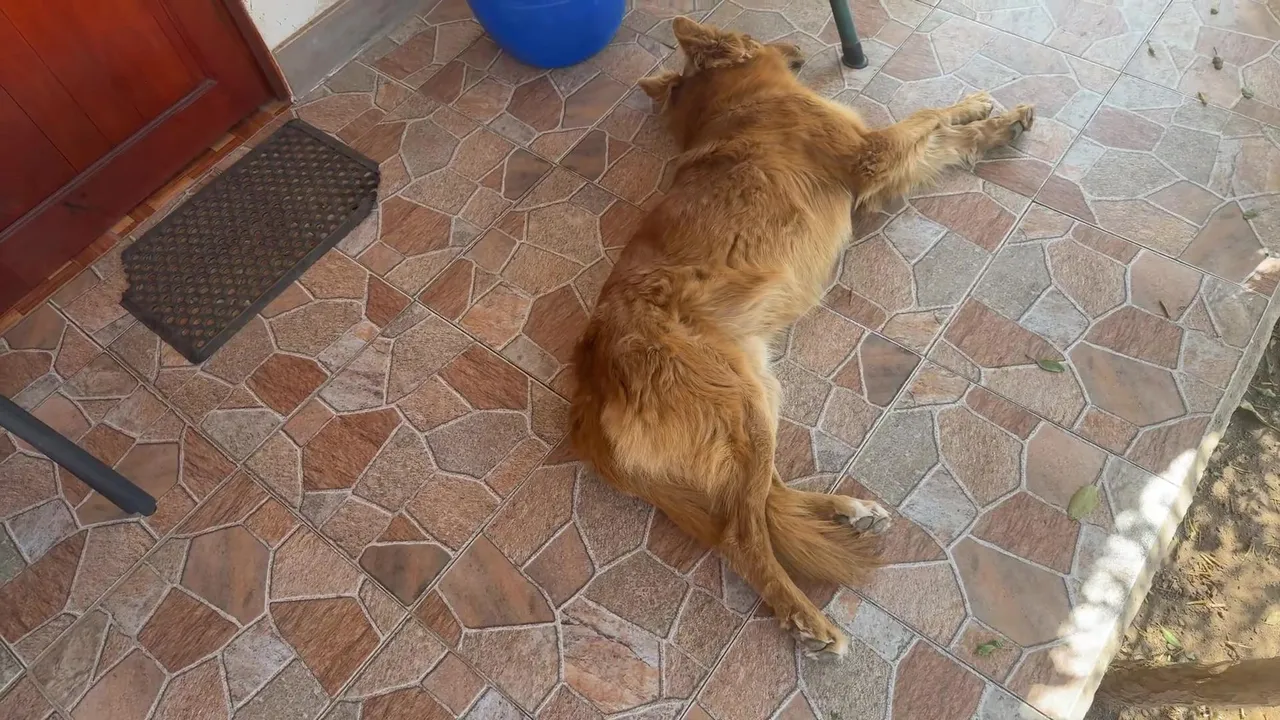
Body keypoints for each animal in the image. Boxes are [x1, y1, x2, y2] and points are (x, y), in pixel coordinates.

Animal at [568, 16, 1035, 656]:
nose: (798, 44)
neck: (736, 104)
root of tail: (587, 391)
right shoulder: (870, 155)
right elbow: (927, 116)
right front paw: (979, 109)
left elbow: (946, 136)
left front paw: (992, 120)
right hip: (739, 410)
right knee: (741, 531)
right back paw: (806, 618)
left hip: (755, 403)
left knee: (766, 500)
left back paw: (846, 510)